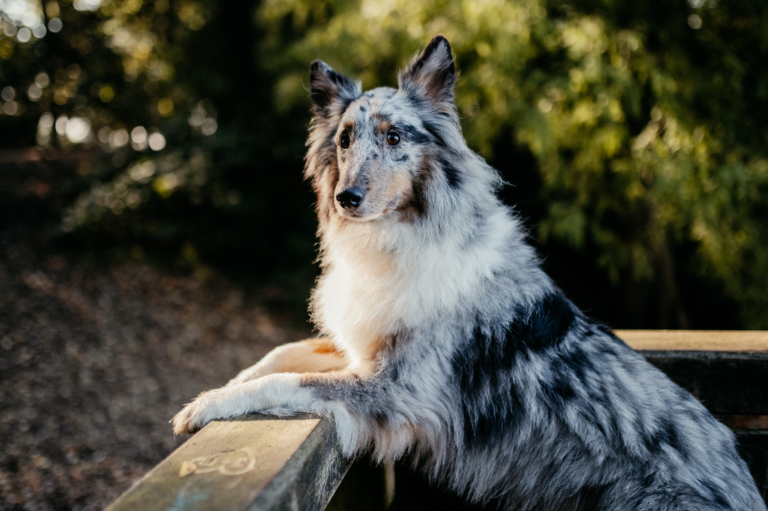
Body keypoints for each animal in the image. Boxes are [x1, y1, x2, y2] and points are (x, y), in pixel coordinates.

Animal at [171, 36, 764, 511]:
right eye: (343, 140)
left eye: (393, 138)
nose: (347, 198)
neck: (401, 236)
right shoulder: (365, 348)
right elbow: (283, 352)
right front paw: (225, 383)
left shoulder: (395, 390)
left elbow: (288, 381)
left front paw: (205, 406)